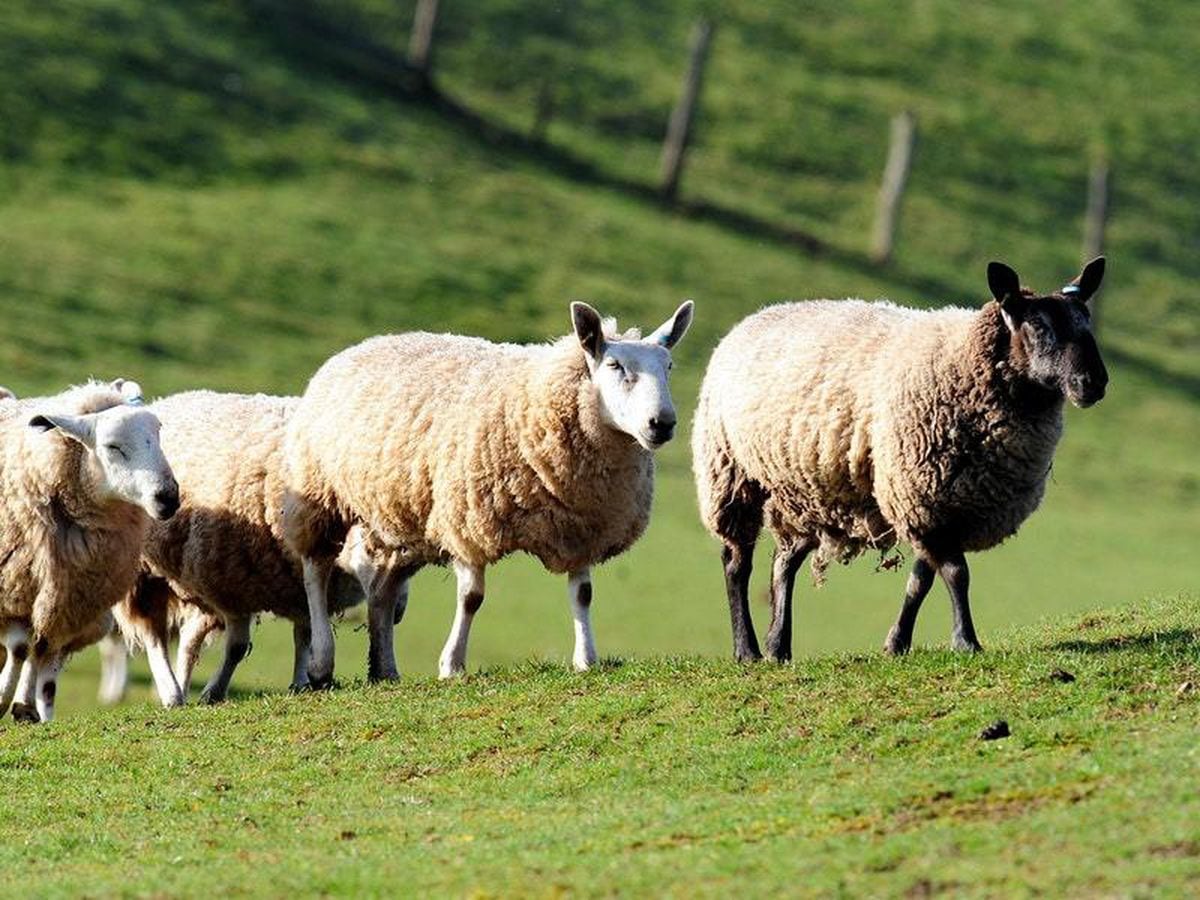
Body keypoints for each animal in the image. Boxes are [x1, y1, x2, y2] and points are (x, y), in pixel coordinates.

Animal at [0, 381, 177, 724]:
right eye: (112, 446)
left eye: (160, 433)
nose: (168, 498)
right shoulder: (13, 590)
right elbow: (19, 648)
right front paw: (3, 697)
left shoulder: (66, 597)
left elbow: (39, 651)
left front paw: (25, 706)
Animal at [116, 391, 408, 710]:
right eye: (370, 550)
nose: (398, 612)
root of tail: (163, 401)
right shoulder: (232, 584)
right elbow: (237, 646)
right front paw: (213, 691)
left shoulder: (294, 587)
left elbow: (303, 636)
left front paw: (300, 684)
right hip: (144, 575)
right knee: (153, 634)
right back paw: (171, 692)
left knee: (189, 639)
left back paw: (181, 682)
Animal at [283, 297, 696, 681]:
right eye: (614, 366)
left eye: (669, 367)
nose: (662, 423)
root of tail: (358, 347)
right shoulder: (467, 519)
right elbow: (471, 598)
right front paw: (452, 664)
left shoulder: (580, 524)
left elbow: (582, 595)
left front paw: (586, 659)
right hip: (319, 495)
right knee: (315, 572)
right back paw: (321, 661)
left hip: (404, 522)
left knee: (382, 593)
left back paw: (385, 669)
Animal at [691, 256, 1108, 657]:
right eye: (1037, 325)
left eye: (1086, 321)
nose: (1094, 382)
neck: (963, 361)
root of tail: (750, 320)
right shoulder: (923, 495)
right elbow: (956, 573)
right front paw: (966, 641)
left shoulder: (941, 503)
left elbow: (920, 580)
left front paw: (897, 643)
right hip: (730, 472)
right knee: (736, 563)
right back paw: (747, 649)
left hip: (801, 492)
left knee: (783, 563)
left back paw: (778, 645)